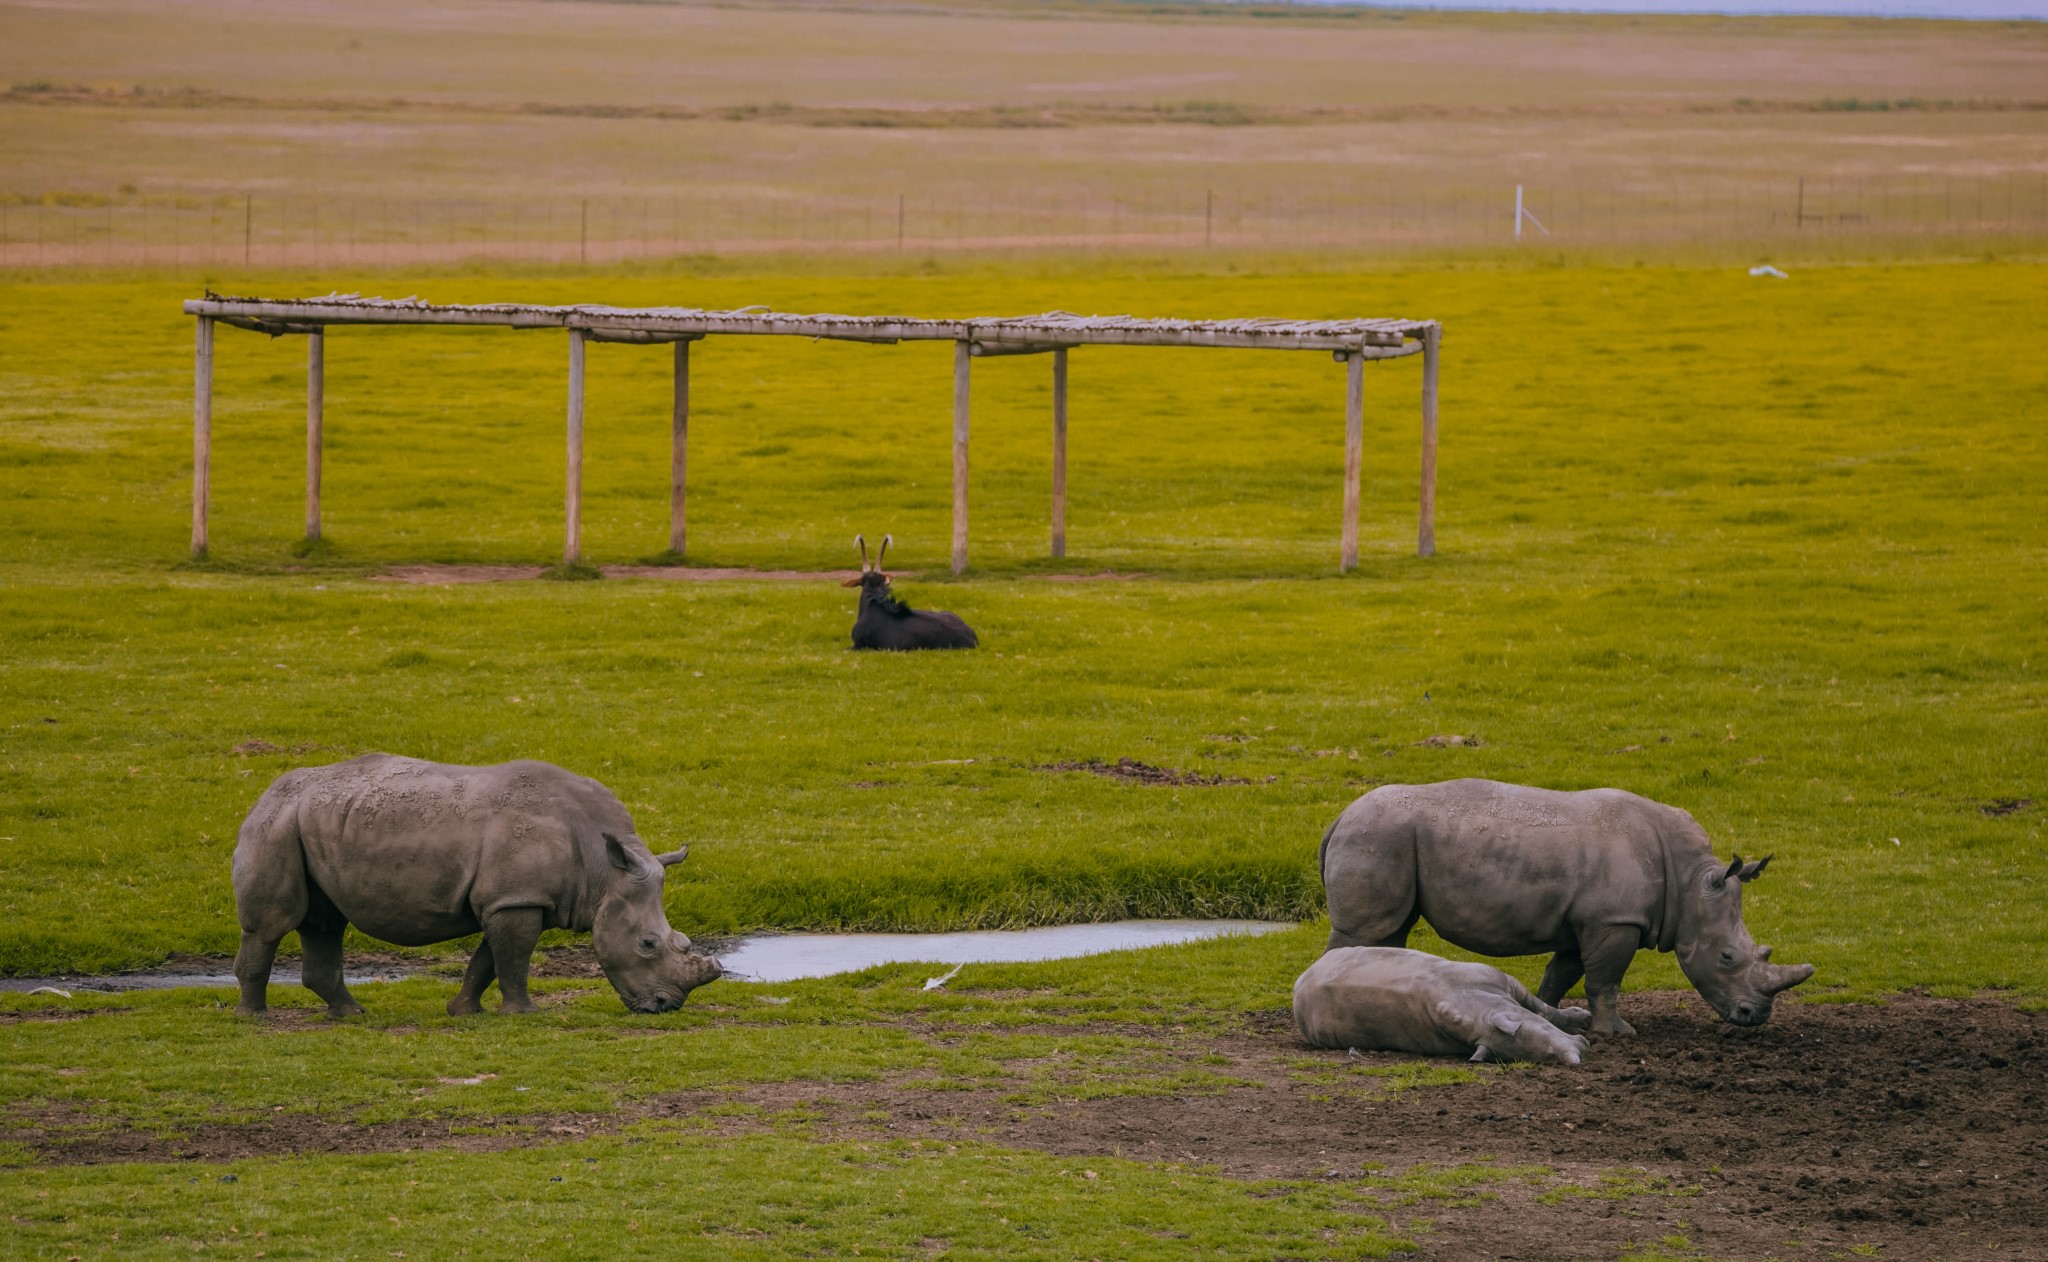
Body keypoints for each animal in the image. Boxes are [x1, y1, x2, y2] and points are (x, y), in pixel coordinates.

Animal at [231, 758, 720, 1016]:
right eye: (647, 944)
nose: (666, 1005)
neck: (604, 870)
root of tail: (266, 792)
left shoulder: (515, 898)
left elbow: (489, 959)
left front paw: (464, 1012)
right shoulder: (516, 900)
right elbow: (514, 959)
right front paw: (525, 1015)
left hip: (314, 823)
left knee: (325, 923)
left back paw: (352, 1015)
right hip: (276, 824)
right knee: (274, 924)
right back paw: (256, 1017)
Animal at [1286, 946, 1589, 1065]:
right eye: (1546, 1054)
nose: (1577, 1055)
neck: (1480, 1014)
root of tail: (1300, 980)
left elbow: (1543, 1009)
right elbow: (1544, 1010)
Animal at [1310, 778, 1810, 1036]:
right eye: (1726, 957)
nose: (1754, 1017)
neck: (1690, 883)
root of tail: (1339, 816)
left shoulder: (1588, 922)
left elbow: (1562, 973)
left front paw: (1545, 1015)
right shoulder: (1615, 921)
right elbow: (1606, 979)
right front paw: (1616, 1034)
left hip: (1384, 837)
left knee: (1388, 934)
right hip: (1377, 836)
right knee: (1363, 934)